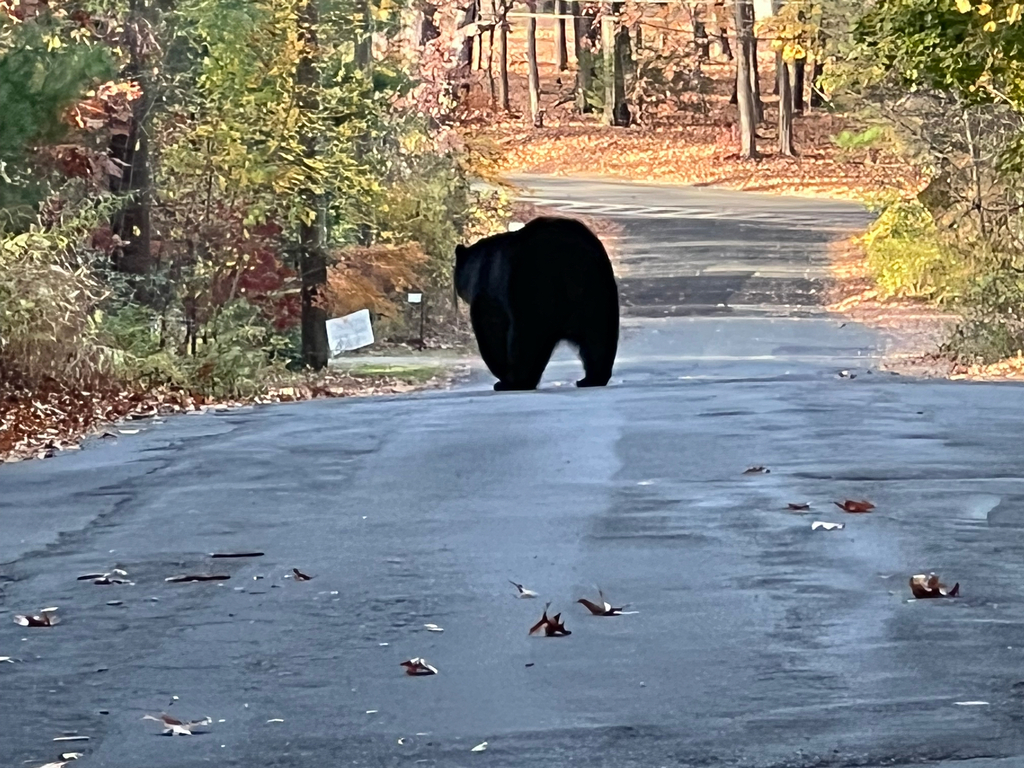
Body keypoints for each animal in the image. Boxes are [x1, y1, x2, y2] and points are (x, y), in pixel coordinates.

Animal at [454, 216, 619, 391]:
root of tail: (569, 258)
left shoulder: (488, 292)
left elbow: (490, 329)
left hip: (531, 290)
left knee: (526, 339)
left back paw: (515, 382)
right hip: (597, 294)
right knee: (598, 337)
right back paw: (591, 378)